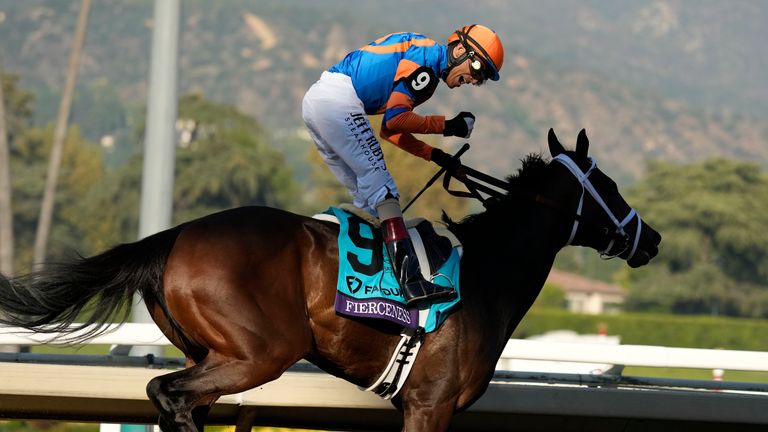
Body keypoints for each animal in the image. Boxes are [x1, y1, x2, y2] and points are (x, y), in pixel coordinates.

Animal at [0, 129, 660, 432]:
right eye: (609, 186)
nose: (649, 237)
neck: (484, 276)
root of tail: (175, 236)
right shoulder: (431, 404)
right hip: (263, 351)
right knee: (167, 392)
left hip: (214, 352)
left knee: (177, 396)